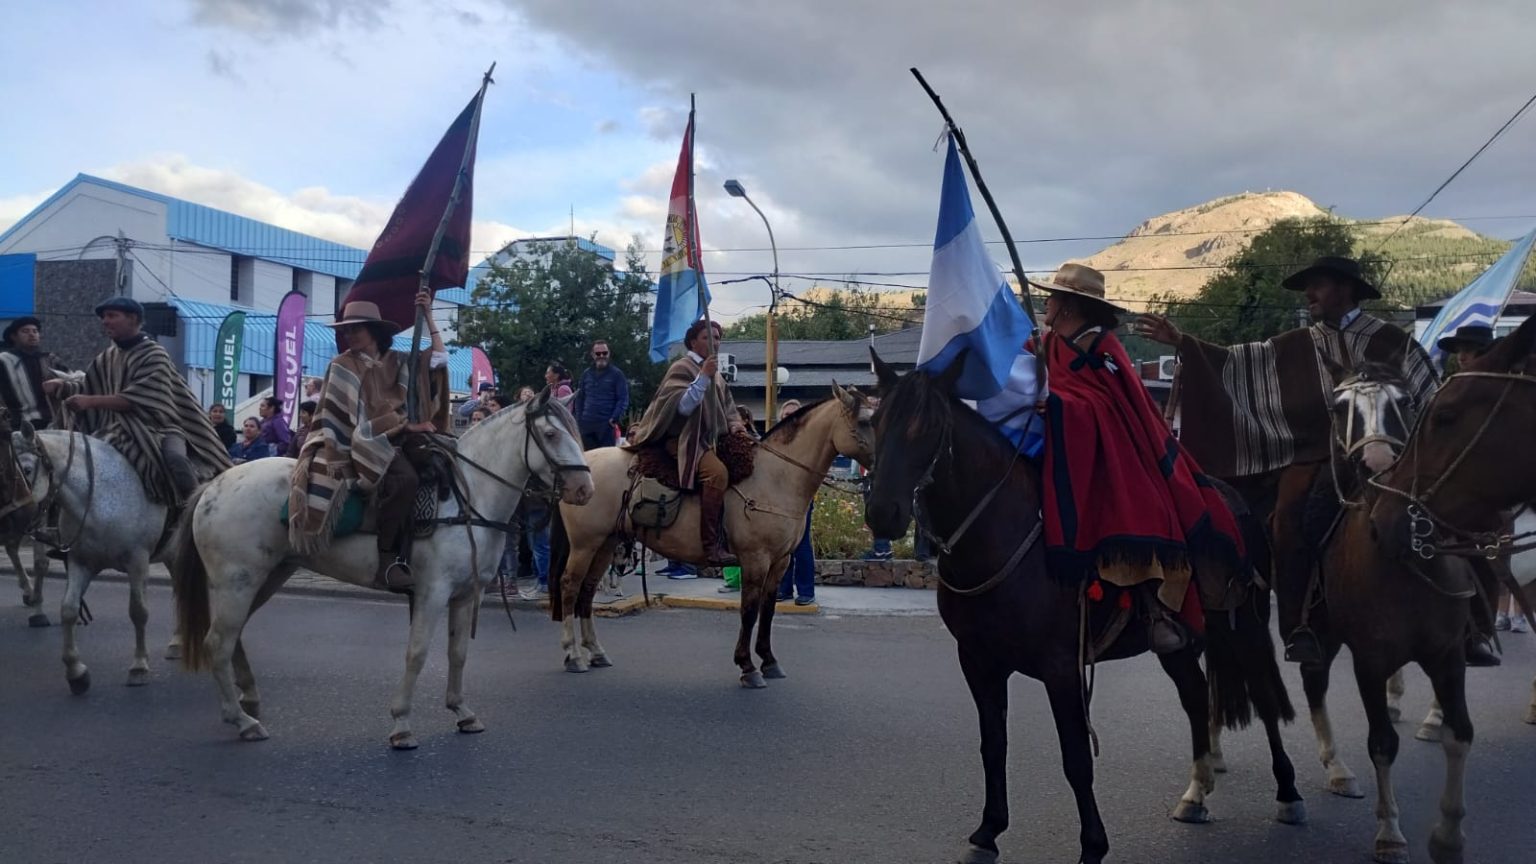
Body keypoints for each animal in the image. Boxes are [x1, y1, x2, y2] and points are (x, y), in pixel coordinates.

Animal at [172, 390, 592, 747]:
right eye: (551, 434)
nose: (585, 490)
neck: (468, 498)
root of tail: (214, 485)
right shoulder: (432, 592)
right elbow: (417, 653)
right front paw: (402, 724)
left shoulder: (465, 594)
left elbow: (457, 653)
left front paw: (462, 712)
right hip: (237, 582)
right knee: (217, 642)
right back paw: (242, 721)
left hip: (266, 577)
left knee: (233, 637)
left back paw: (249, 701)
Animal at [546, 387, 872, 682]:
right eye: (865, 420)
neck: (774, 477)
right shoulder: (755, 560)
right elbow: (749, 611)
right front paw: (748, 667)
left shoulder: (780, 562)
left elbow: (768, 611)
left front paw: (769, 661)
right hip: (585, 544)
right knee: (570, 587)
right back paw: (573, 655)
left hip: (606, 543)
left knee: (588, 590)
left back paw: (596, 652)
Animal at [866, 352, 1296, 860]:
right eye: (875, 420)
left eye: (928, 427)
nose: (881, 513)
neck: (1000, 538)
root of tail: (1233, 498)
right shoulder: (978, 662)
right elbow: (993, 746)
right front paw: (988, 831)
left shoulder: (1061, 668)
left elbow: (1074, 757)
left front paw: (1093, 844)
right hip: (1180, 641)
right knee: (1195, 696)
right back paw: (1196, 794)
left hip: (1243, 624)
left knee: (1264, 697)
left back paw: (1288, 793)